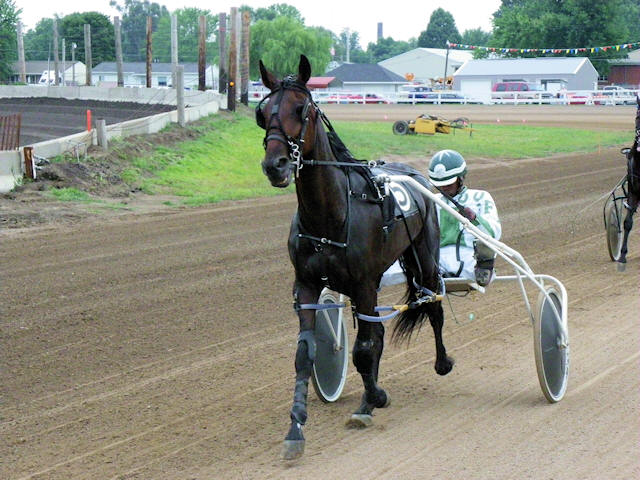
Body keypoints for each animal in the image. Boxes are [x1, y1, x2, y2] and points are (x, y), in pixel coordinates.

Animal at [257, 54, 454, 460]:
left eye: (301, 110)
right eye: (262, 112)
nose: (275, 165)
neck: (331, 214)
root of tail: (413, 174)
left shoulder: (363, 283)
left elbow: (364, 350)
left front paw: (374, 398)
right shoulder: (306, 286)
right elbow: (306, 353)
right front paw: (296, 427)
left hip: (423, 259)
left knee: (432, 305)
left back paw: (441, 362)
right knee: (376, 330)